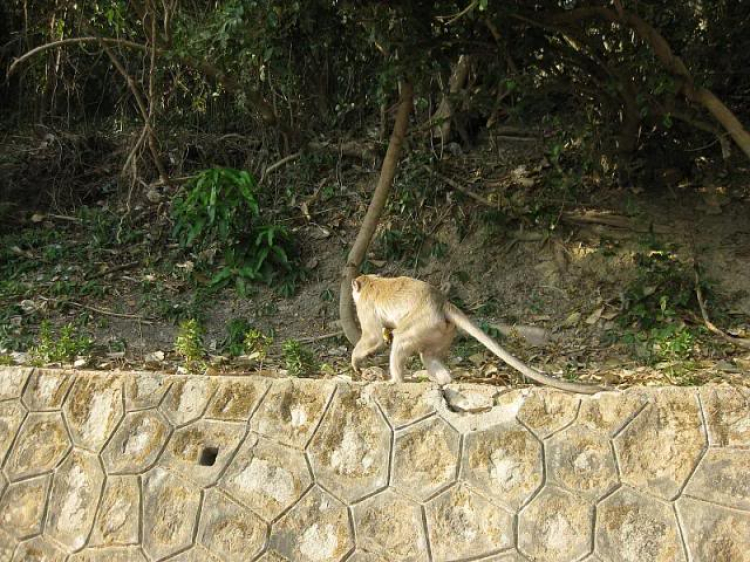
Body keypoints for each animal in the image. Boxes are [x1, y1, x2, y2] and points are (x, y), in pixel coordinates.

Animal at [352, 274, 604, 392]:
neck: (371, 282)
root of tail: (442, 303)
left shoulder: (364, 305)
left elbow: (373, 337)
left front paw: (356, 362)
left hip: (422, 322)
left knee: (402, 341)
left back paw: (395, 381)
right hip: (440, 330)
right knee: (429, 355)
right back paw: (443, 381)